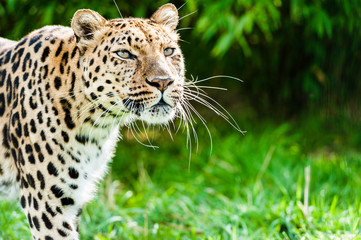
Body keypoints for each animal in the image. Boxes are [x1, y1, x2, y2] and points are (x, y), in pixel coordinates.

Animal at [0, 3, 184, 240]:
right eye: (124, 54)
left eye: (169, 51)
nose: (163, 81)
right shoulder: (45, 202)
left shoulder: (72, 197)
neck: (95, 126)